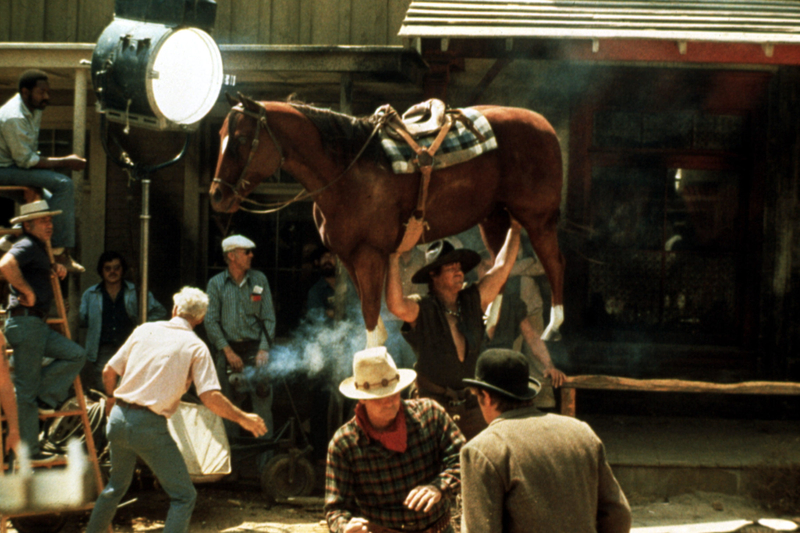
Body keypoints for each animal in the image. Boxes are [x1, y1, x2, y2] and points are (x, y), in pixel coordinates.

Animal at [209, 95, 564, 342]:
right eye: (221, 134)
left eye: (241, 139)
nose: (217, 196)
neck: (346, 170)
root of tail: (545, 125)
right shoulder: (349, 257)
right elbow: (376, 327)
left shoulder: (369, 255)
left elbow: (370, 322)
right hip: (493, 218)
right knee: (501, 268)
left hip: (539, 220)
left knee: (552, 264)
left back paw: (552, 326)